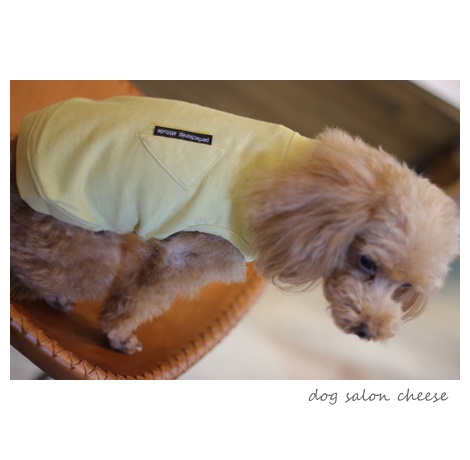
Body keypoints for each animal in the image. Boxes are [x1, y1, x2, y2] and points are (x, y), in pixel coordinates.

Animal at [10, 96, 459, 354]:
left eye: (406, 286)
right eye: (366, 262)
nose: (369, 330)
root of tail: (18, 144)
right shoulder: (188, 255)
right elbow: (141, 300)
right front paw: (119, 335)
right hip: (82, 244)